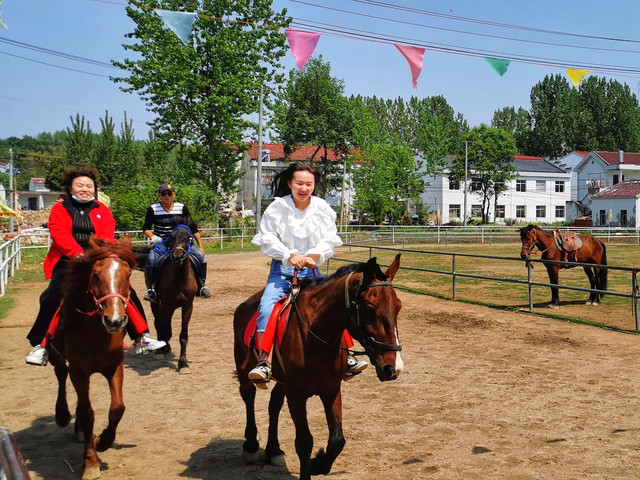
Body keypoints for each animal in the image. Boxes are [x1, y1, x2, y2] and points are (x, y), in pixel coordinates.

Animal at [47, 235, 136, 480]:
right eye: (95, 274)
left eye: (128, 275)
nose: (114, 320)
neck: (96, 333)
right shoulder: (79, 370)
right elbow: (88, 414)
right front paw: (90, 462)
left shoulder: (115, 367)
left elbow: (117, 408)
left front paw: (102, 441)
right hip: (56, 354)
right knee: (61, 374)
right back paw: (63, 414)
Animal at [148, 225, 198, 374]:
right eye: (171, 237)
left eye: (188, 238)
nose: (177, 257)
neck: (179, 279)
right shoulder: (164, 304)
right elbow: (162, 327)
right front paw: (161, 349)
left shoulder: (187, 306)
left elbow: (183, 336)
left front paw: (183, 363)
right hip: (156, 303)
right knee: (158, 322)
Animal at [233, 254, 404, 480]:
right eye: (369, 307)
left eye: (398, 306)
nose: (393, 367)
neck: (315, 337)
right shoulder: (296, 394)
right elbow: (304, 442)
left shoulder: (331, 389)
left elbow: (337, 439)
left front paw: (319, 464)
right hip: (243, 367)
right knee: (248, 396)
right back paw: (251, 446)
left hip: (282, 381)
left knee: (274, 404)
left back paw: (274, 450)